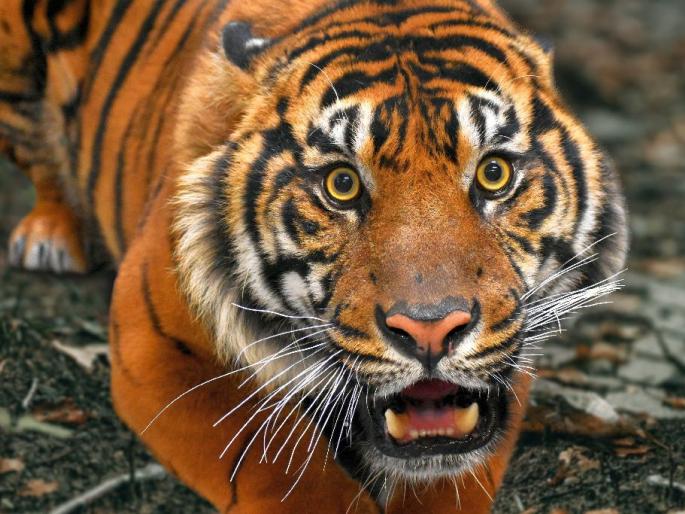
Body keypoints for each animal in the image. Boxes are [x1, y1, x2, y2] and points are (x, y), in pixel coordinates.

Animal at [0, 0, 628, 512]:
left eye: (494, 173)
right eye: (342, 184)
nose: (430, 330)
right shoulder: (152, 345)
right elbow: (285, 472)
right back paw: (49, 236)